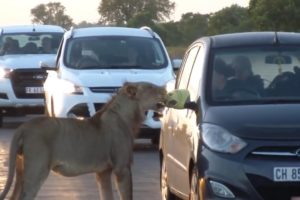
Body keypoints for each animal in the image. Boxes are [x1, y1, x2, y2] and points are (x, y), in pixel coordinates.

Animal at [0, 81, 166, 200]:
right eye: (152, 87)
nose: (165, 89)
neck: (128, 116)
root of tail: (23, 127)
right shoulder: (122, 168)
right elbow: (127, 196)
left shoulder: (103, 172)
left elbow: (106, 196)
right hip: (36, 170)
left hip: (21, 169)